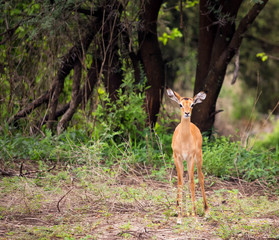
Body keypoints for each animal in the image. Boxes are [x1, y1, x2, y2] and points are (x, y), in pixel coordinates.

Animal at [167, 87, 209, 223]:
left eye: (192, 105)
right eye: (180, 104)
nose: (186, 113)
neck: (184, 139)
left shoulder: (190, 158)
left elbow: (192, 182)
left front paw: (195, 216)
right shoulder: (177, 157)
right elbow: (180, 182)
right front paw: (180, 217)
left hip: (199, 158)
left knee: (200, 177)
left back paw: (206, 211)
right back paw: (178, 209)